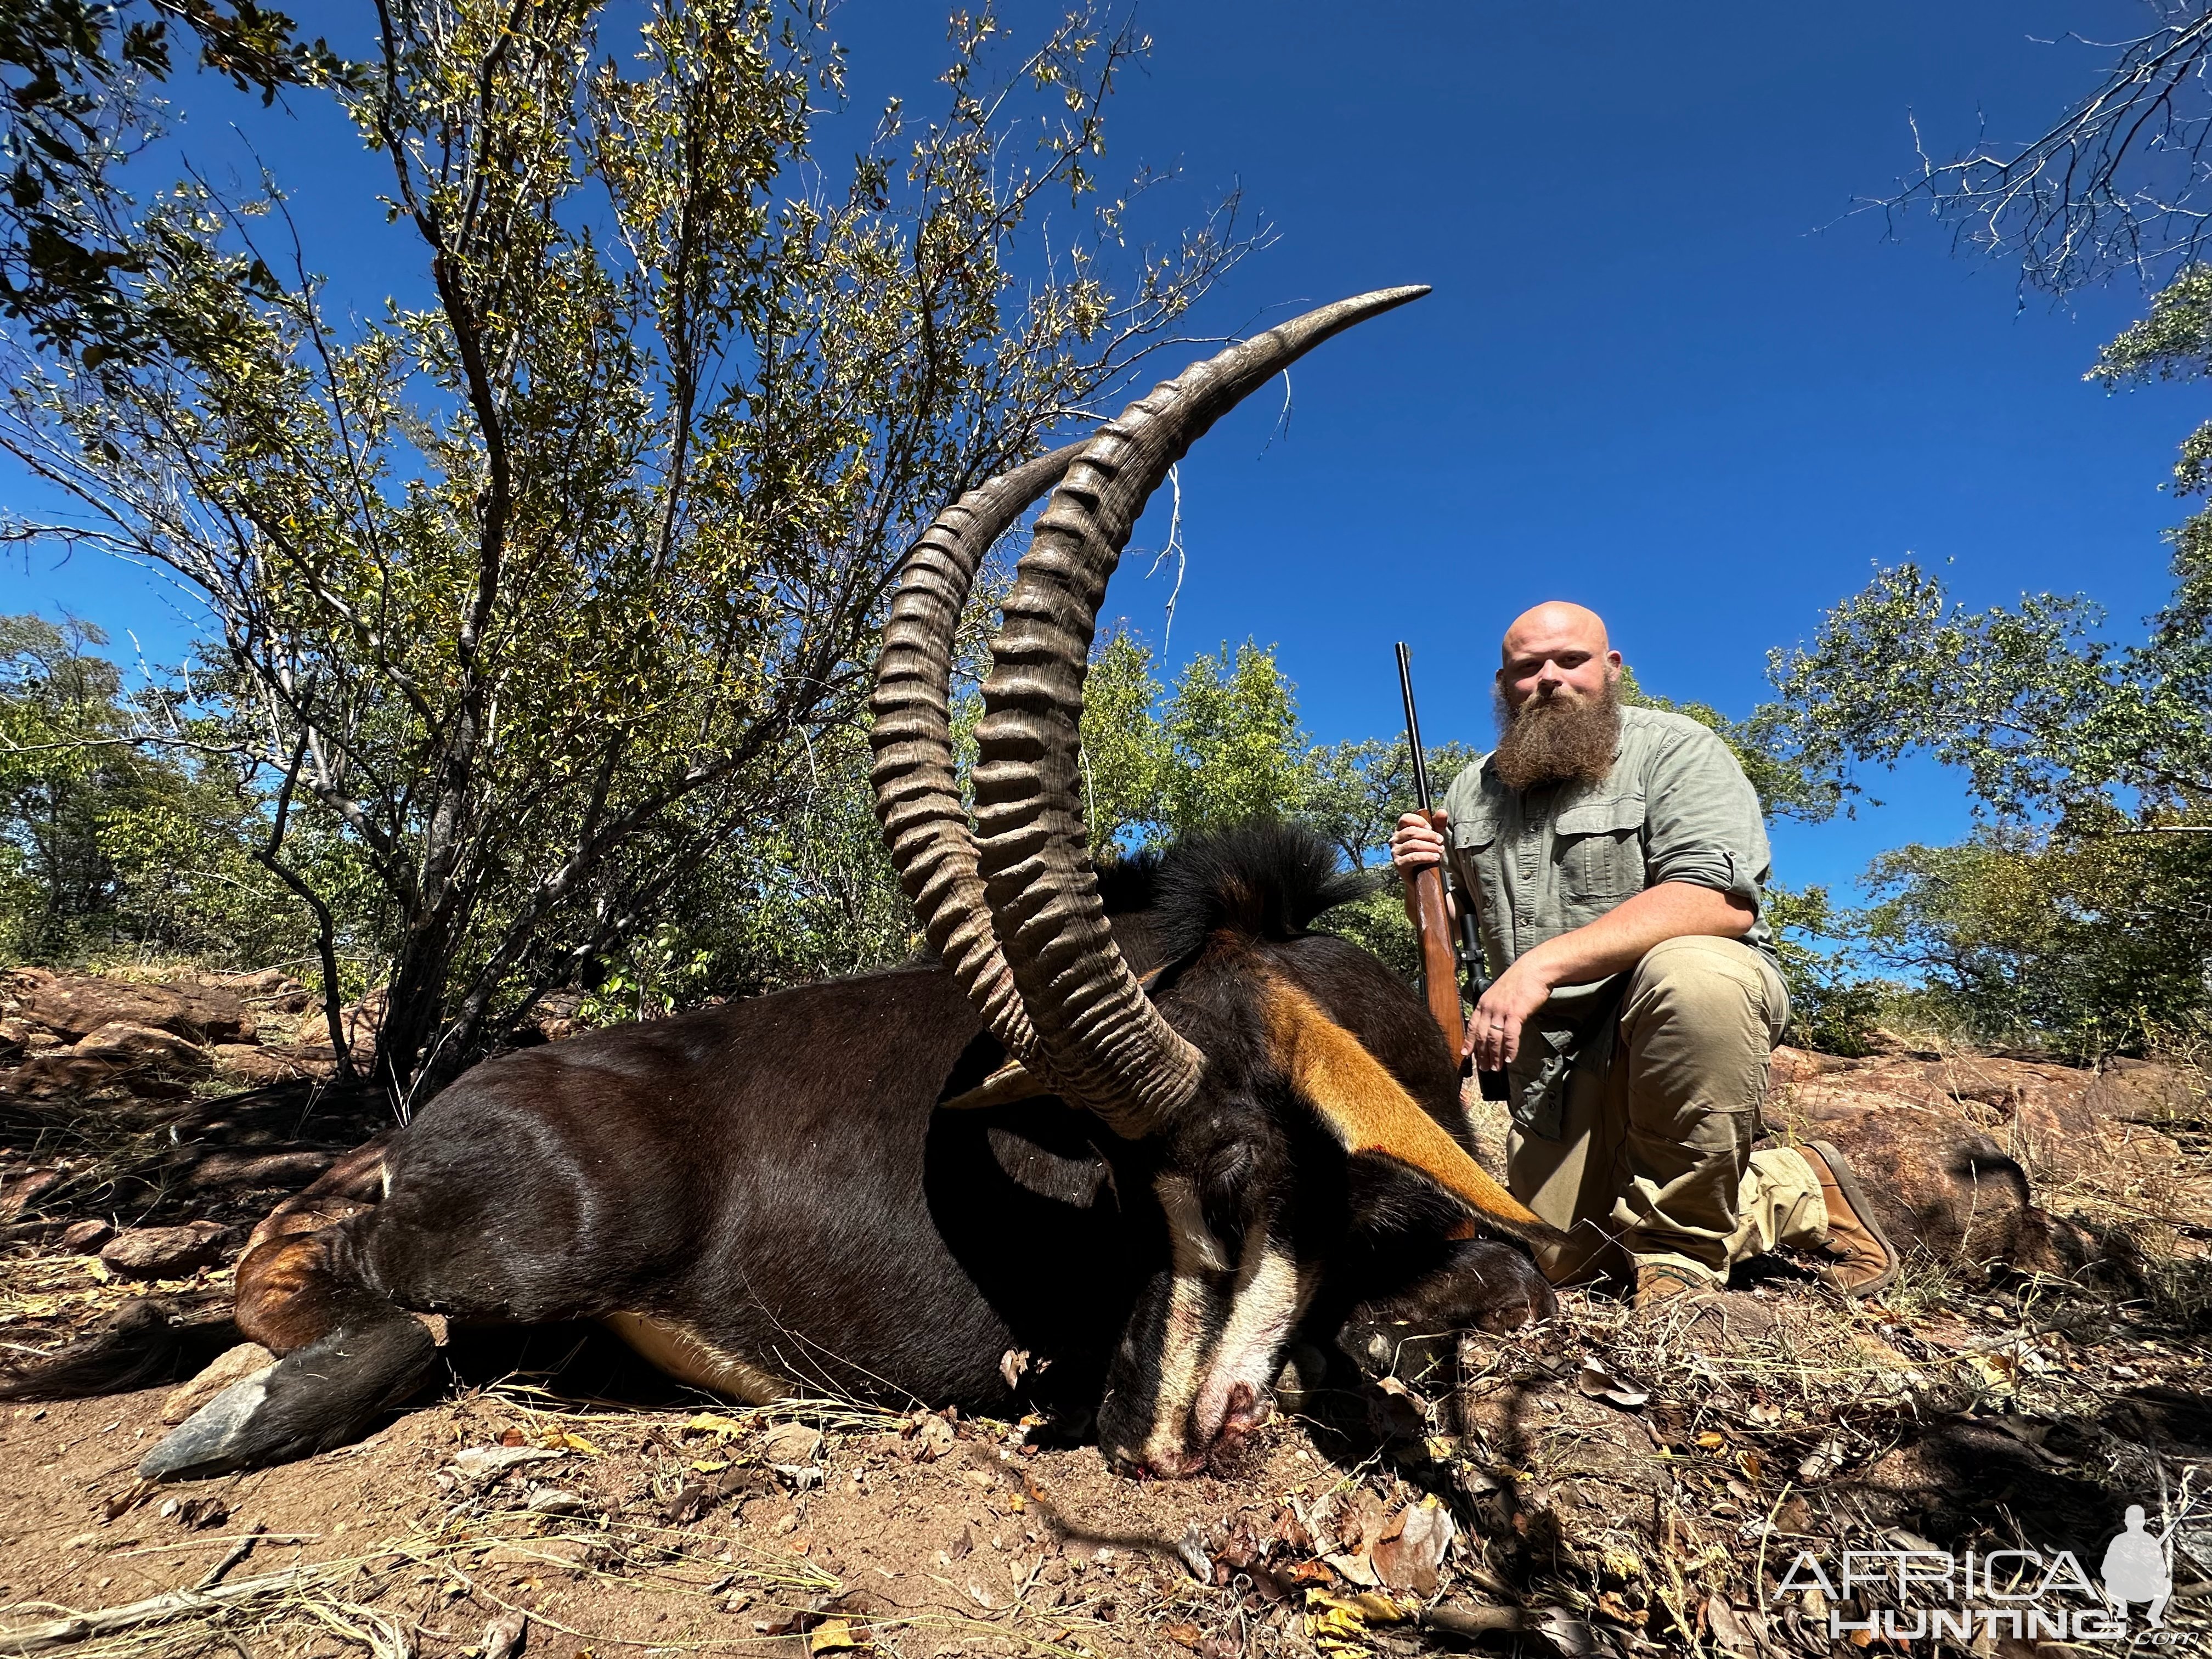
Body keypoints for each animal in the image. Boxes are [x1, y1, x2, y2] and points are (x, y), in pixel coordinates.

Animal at [4, 285, 1557, 1477]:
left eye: (1232, 1161)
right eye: (1122, 1183)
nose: (1142, 1436)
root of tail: (443, 1114)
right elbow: (1463, 1295)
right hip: (543, 1255)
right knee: (388, 1316)